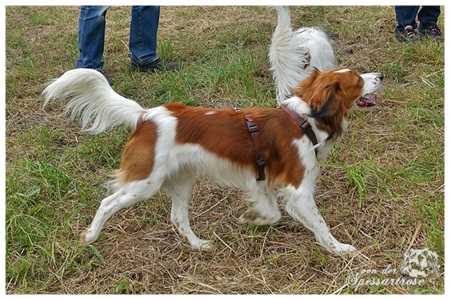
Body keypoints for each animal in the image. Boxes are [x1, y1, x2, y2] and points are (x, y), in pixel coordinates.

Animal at [42, 65, 382, 253]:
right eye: (357, 81)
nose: (380, 75)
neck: (305, 120)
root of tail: (146, 116)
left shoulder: (260, 182)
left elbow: (272, 213)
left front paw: (252, 218)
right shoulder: (298, 189)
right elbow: (320, 224)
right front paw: (340, 249)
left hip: (181, 181)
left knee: (177, 218)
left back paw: (198, 245)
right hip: (144, 183)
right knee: (107, 203)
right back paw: (90, 236)